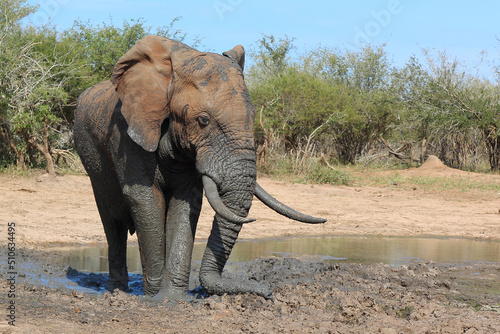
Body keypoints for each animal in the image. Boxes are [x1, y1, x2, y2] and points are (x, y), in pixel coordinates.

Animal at [72, 35, 326, 298]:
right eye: (203, 120)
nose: (267, 291)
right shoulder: (126, 132)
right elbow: (144, 199)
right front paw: (153, 298)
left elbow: (186, 202)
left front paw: (171, 298)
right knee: (113, 224)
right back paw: (117, 292)